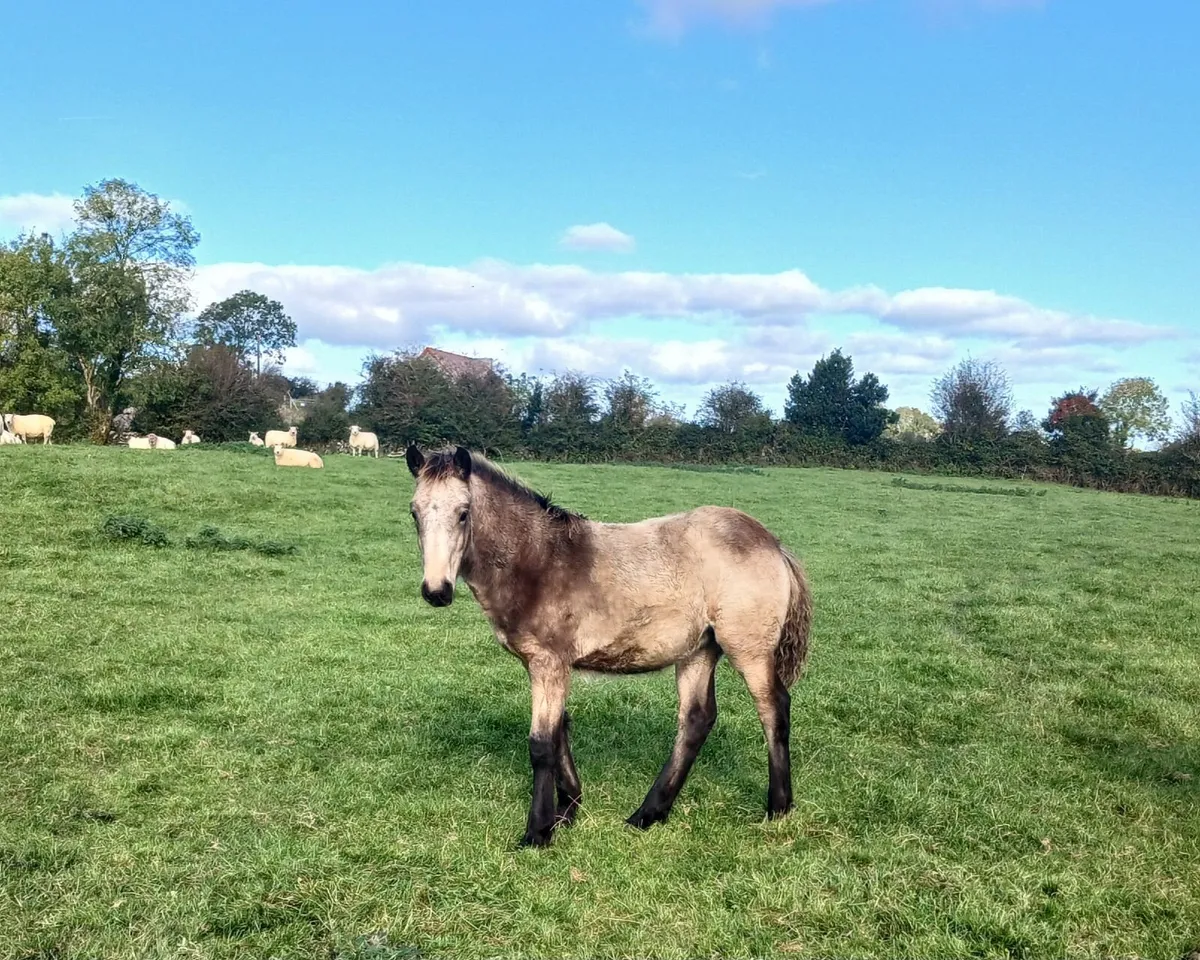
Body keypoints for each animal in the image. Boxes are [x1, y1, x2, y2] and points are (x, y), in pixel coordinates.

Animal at [405, 445, 812, 848]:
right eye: (414, 513)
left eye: (463, 513)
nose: (436, 591)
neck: (539, 560)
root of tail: (773, 544)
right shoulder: (547, 665)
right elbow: (560, 729)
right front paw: (567, 810)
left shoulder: (548, 662)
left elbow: (541, 743)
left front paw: (538, 832)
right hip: (698, 651)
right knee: (696, 719)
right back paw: (648, 814)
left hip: (749, 650)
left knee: (773, 708)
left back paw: (778, 808)